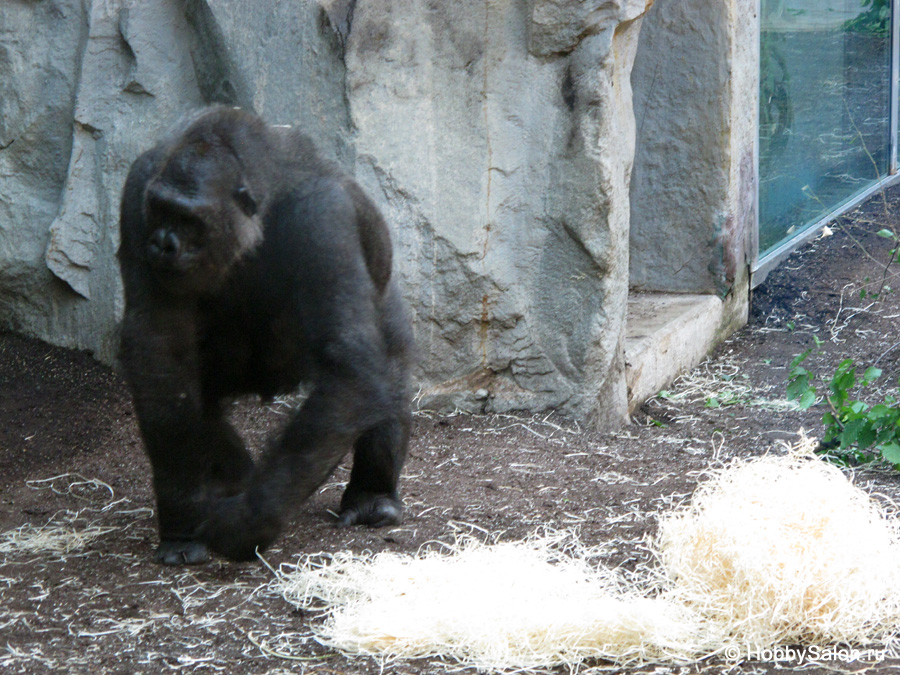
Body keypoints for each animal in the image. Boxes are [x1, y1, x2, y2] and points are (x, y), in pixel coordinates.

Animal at [117, 108, 414, 568]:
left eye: (188, 220)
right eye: (161, 210)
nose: (163, 244)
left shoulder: (322, 216)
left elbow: (348, 367)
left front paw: (248, 521)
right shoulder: (139, 188)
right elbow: (160, 354)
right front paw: (183, 512)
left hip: (386, 289)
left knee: (389, 369)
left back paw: (373, 495)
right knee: (202, 400)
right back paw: (235, 476)